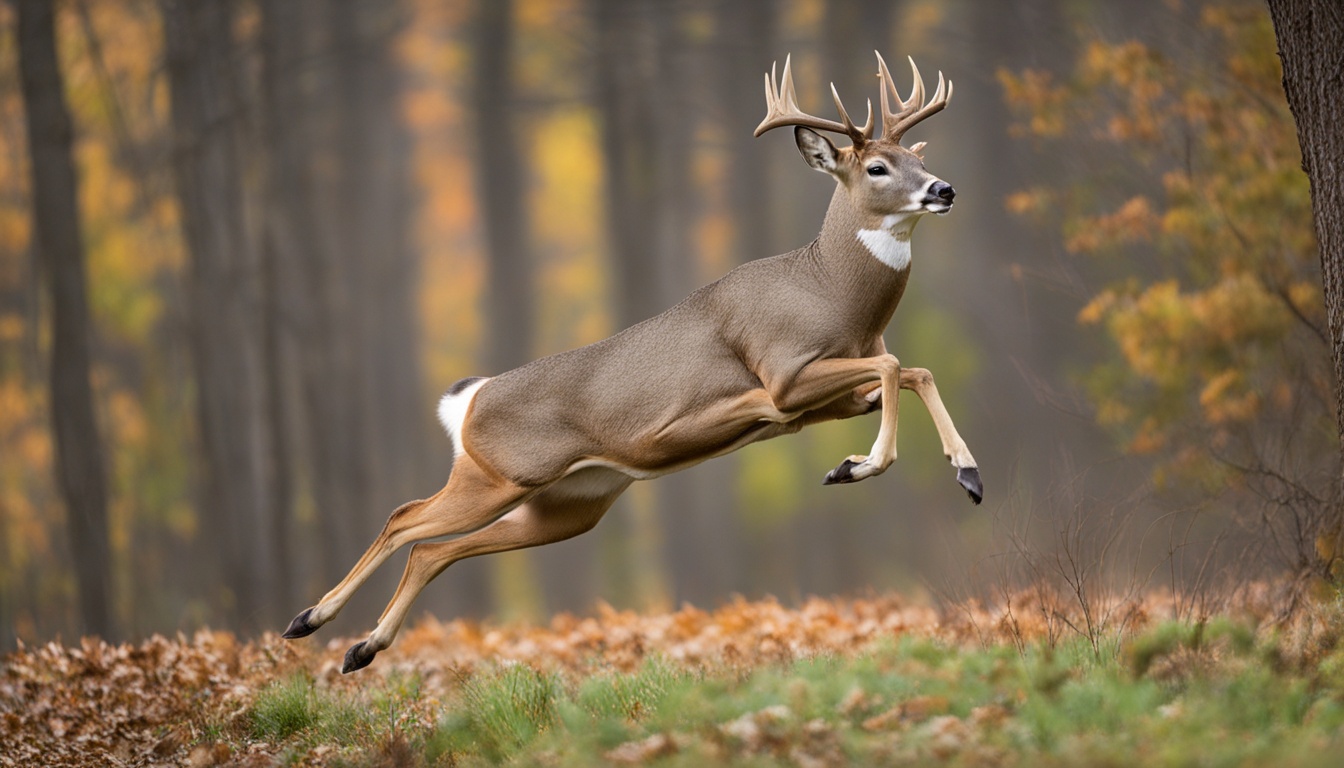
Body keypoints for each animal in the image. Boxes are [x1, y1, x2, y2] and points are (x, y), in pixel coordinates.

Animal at [283, 52, 983, 672]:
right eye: (877, 167)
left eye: (920, 158)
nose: (945, 188)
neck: (836, 299)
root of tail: (468, 398)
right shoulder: (782, 379)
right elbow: (897, 368)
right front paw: (864, 465)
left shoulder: (826, 401)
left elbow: (913, 371)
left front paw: (960, 473)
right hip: (498, 475)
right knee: (405, 519)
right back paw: (309, 620)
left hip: (567, 506)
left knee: (432, 550)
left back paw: (358, 649)